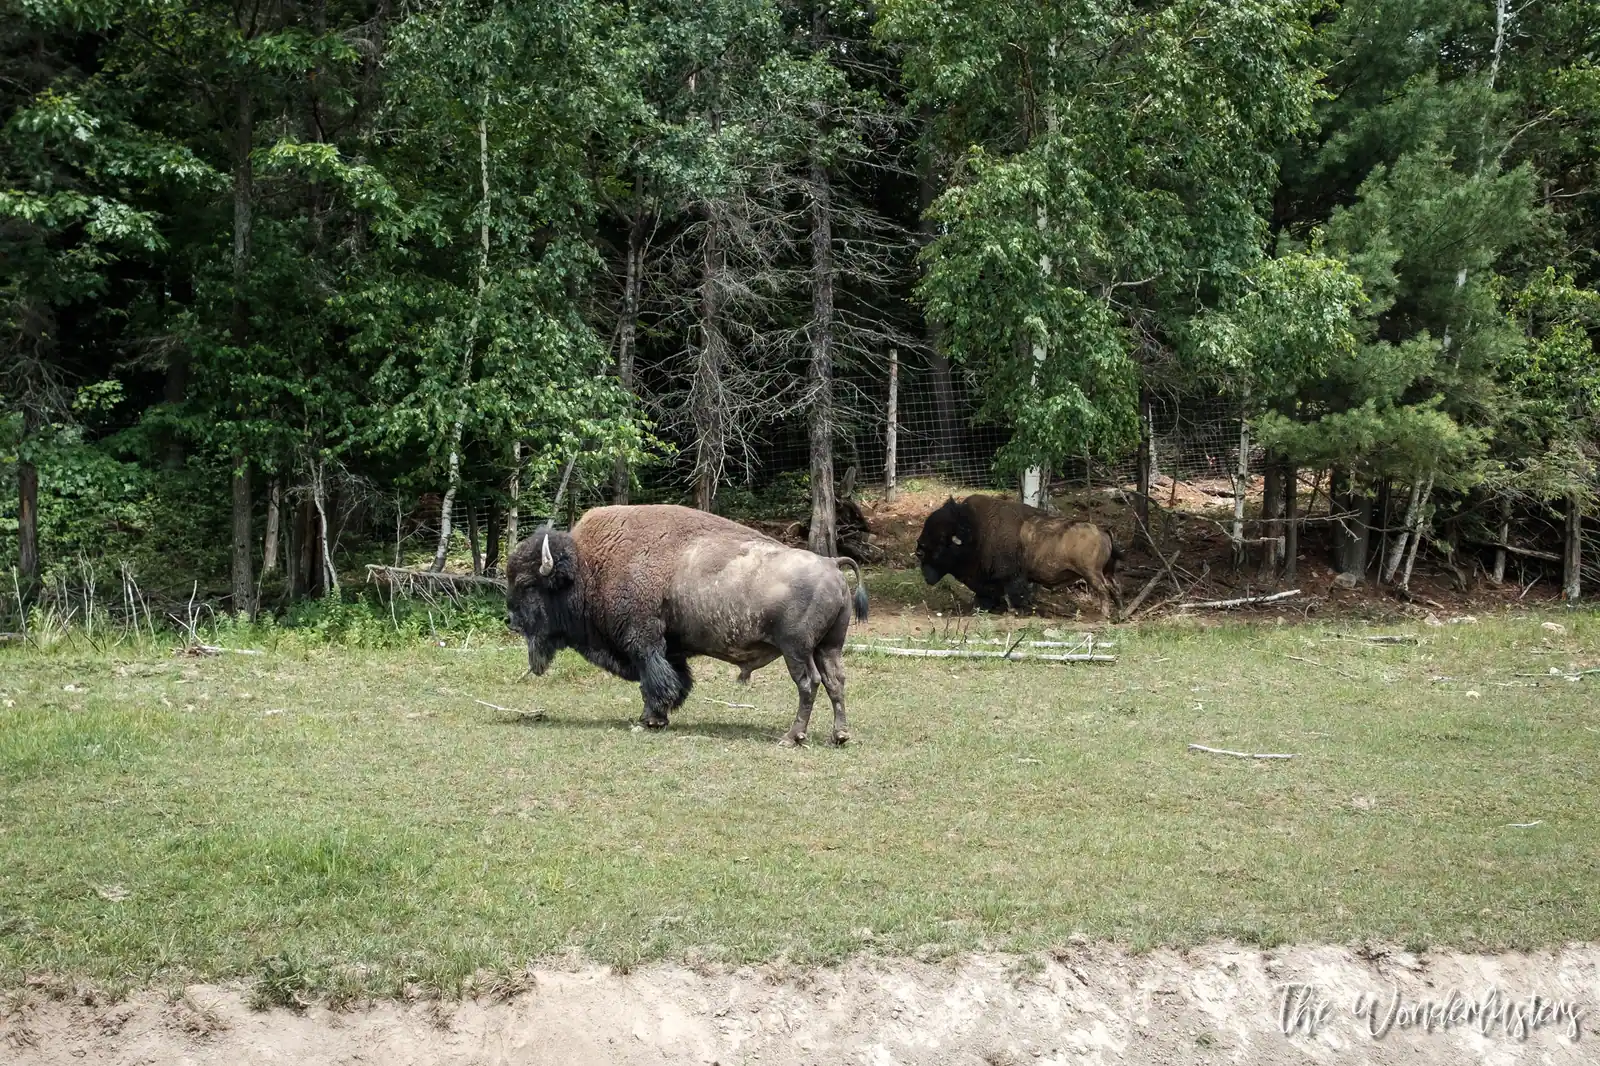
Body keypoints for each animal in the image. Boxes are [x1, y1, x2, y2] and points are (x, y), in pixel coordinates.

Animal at [506, 504, 868, 745]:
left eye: (527, 584)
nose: (510, 620)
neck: (587, 566)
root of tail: (831, 564)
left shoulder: (643, 643)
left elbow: (653, 681)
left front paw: (649, 720)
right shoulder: (670, 649)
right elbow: (676, 680)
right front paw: (661, 716)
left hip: (797, 650)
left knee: (809, 683)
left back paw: (792, 737)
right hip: (829, 646)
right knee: (835, 682)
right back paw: (840, 735)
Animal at [915, 494, 1123, 617]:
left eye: (941, 541)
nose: (918, 550)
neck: (976, 531)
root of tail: (1103, 531)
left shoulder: (1009, 577)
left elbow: (1011, 593)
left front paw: (1013, 611)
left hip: (1091, 573)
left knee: (1103, 590)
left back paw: (1104, 615)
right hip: (1105, 572)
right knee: (1114, 588)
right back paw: (1120, 614)